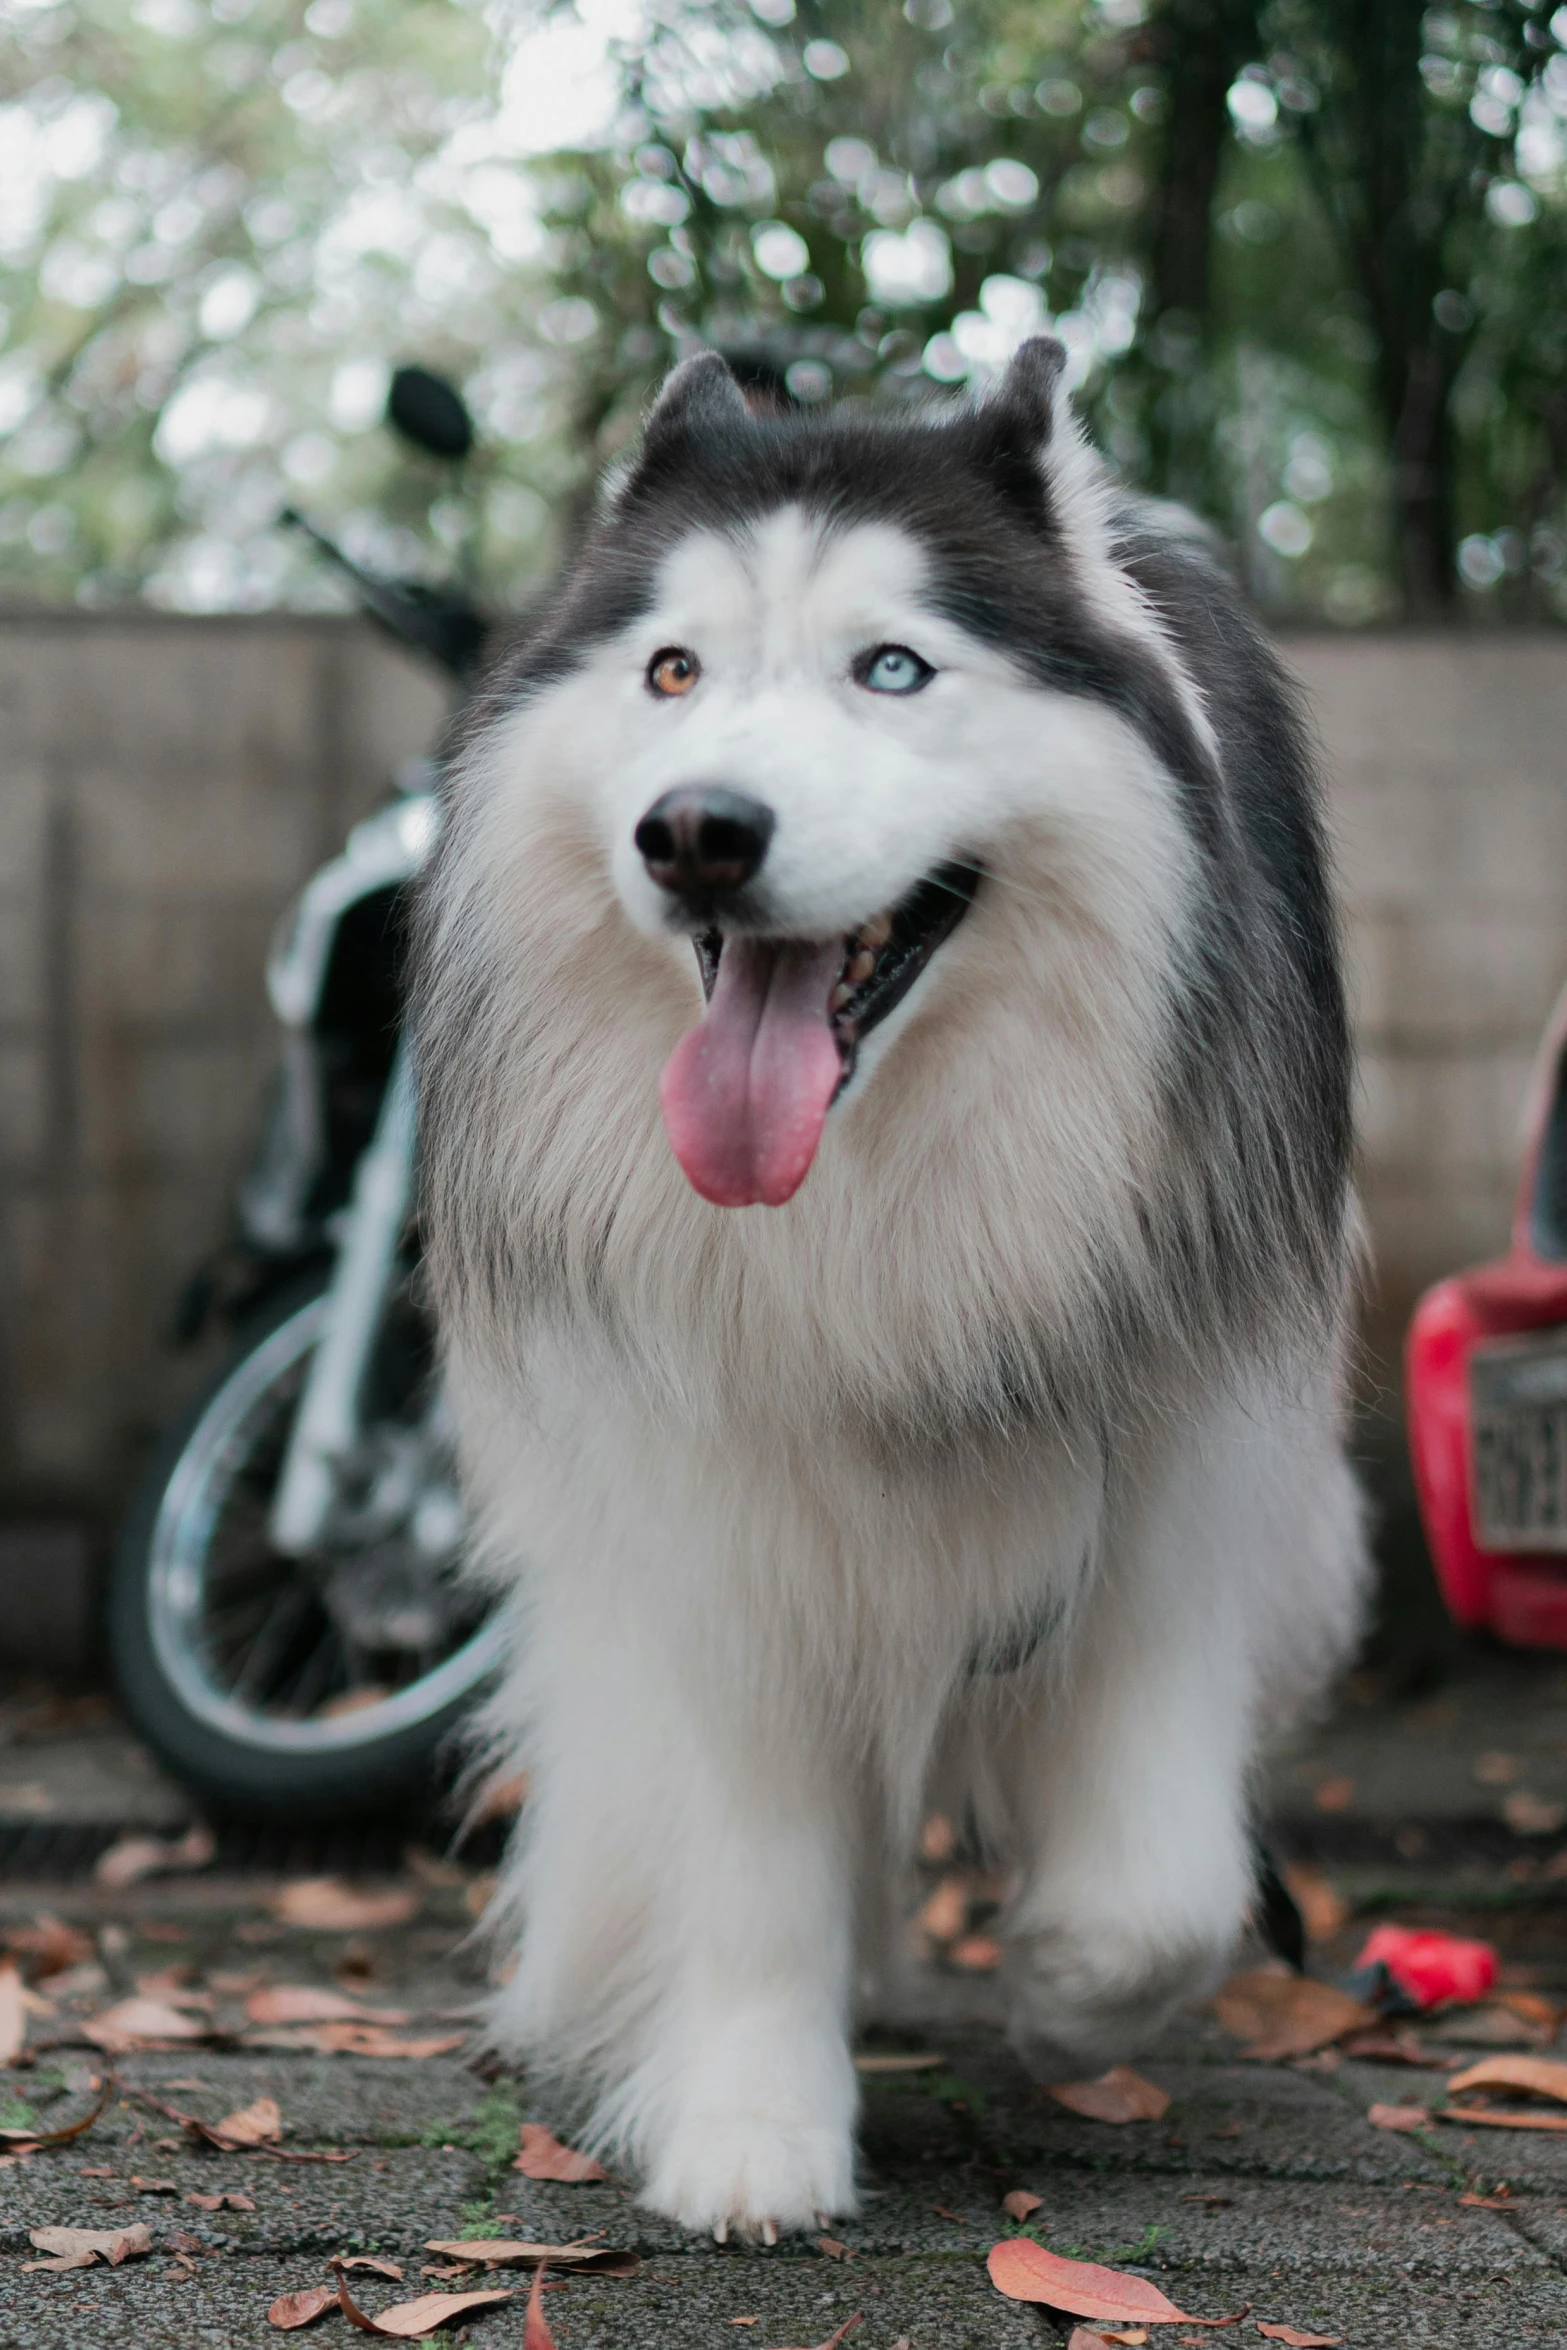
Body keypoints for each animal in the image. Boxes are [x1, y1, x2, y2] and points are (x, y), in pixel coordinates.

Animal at [413, 340, 1362, 2227]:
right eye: (673, 669)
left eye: (895, 667)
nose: (697, 831)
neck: (873, 1205)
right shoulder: (717, 1513)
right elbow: (753, 1842)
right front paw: (752, 2118)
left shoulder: (1174, 1475)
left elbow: (1160, 1882)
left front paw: (1069, 1997)